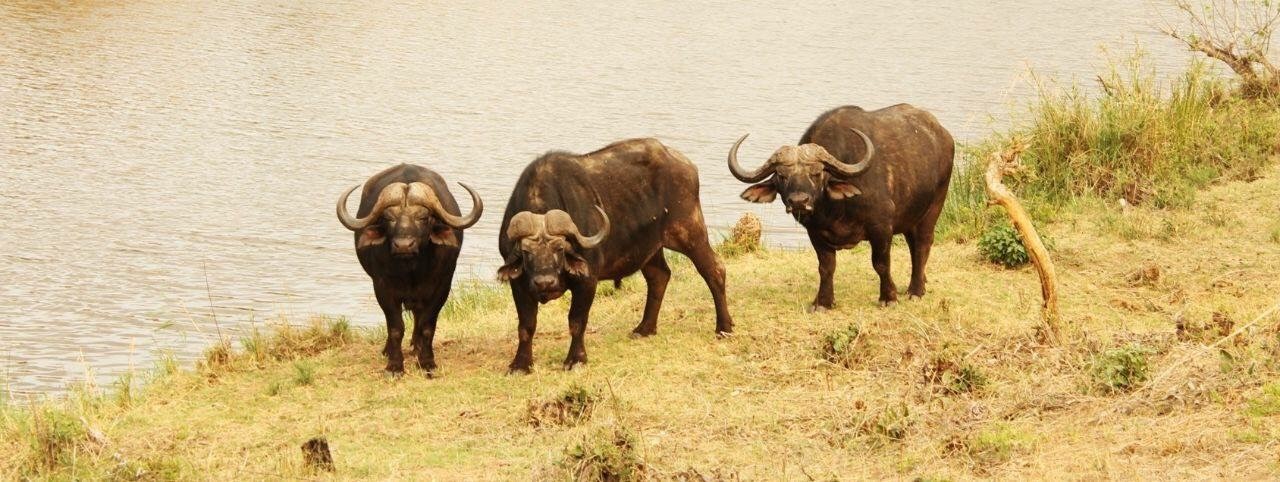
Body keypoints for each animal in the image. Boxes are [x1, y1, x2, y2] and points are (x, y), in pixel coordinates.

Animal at [337, 163, 481, 373]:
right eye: (388, 218)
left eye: (423, 217)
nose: (403, 246)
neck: (411, 271)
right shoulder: (382, 288)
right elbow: (395, 327)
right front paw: (395, 365)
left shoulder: (441, 287)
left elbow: (427, 325)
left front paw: (427, 361)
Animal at [727, 104, 957, 308]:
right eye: (782, 176)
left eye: (816, 173)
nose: (799, 201)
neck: (835, 211)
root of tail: (943, 134)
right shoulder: (815, 232)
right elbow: (826, 267)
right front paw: (823, 302)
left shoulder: (881, 228)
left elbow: (881, 264)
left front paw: (888, 297)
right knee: (913, 245)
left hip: (934, 206)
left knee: (922, 244)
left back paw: (915, 291)